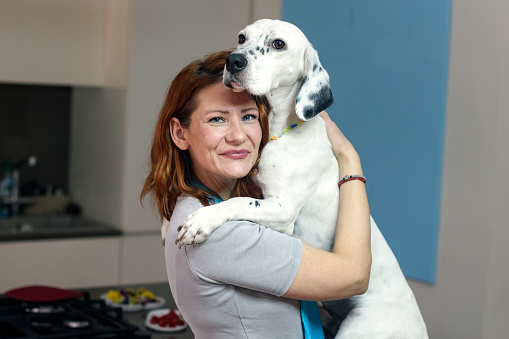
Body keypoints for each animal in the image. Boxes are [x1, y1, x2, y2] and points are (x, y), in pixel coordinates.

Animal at [168, 19, 428, 339]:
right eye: (241, 37)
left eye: (279, 44)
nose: (234, 61)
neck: (279, 134)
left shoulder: (283, 210)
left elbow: (239, 202)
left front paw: (202, 220)